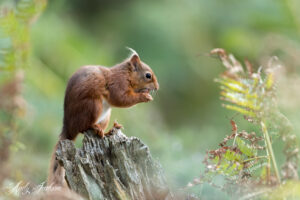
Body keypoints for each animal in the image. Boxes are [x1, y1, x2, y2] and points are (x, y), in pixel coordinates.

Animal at [46, 49, 159, 187]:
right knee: (83, 127)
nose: (157, 87)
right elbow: (121, 98)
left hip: (105, 117)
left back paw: (107, 132)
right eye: (148, 75)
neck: (126, 74)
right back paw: (95, 128)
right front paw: (144, 96)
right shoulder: (117, 84)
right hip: (93, 106)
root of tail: (68, 128)